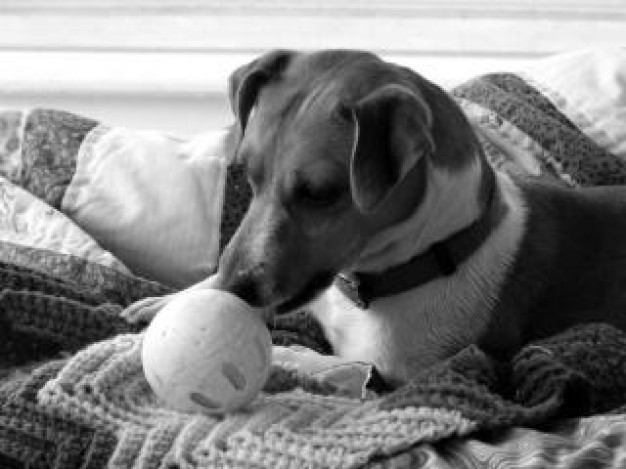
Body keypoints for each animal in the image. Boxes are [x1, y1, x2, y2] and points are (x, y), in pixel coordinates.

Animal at [127, 49, 624, 388]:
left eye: (320, 194)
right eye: (247, 174)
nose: (236, 287)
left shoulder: (403, 373)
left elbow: (317, 362)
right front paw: (171, 301)